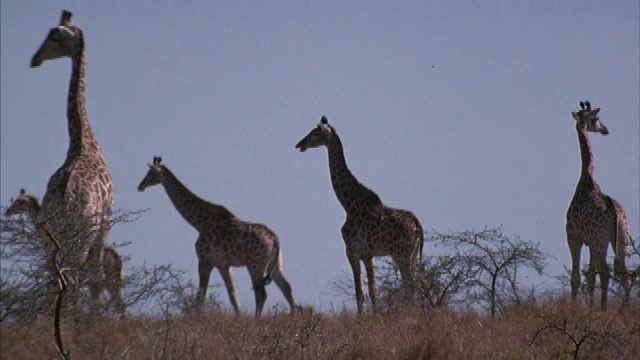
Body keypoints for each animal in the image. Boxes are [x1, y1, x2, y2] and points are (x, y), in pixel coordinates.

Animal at [5, 188, 125, 316]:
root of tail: (117, 259)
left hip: (108, 281)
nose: (8, 211)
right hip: (110, 282)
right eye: (16, 200)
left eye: (20, 202)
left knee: (114, 303)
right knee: (118, 303)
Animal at [30, 9, 114, 306]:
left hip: (52, 236)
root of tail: (67, 196)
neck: (83, 141)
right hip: (82, 233)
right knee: (75, 278)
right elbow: (97, 278)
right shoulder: (106, 223)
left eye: (54, 37)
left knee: (58, 277)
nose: (34, 59)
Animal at [137, 156, 296, 316]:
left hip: (255, 264)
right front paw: (238, 318)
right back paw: (294, 316)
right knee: (287, 287)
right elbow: (233, 295)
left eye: (150, 173)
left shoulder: (204, 260)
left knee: (261, 293)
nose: (140, 186)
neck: (198, 223)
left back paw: (258, 319)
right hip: (275, 263)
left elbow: (201, 294)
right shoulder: (223, 264)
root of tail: (274, 239)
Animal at [296, 116, 424, 314]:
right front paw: (375, 316)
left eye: (316, 133)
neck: (348, 205)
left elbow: (360, 291)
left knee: (409, 286)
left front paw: (364, 318)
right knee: (412, 285)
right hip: (412, 254)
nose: (299, 144)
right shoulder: (369, 254)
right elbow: (372, 289)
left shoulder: (352, 251)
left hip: (402, 253)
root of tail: (417, 225)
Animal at [568, 100, 632, 308]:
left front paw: (574, 308)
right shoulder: (588, 241)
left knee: (606, 271)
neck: (587, 178)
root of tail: (615, 212)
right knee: (624, 273)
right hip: (623, 238)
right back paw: (623, 309)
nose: (605, 129)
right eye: (596, 119)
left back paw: (604, 308)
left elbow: (577, 276)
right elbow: (590, 275)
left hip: (600, 240)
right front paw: (588, 306)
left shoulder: (574, 237)